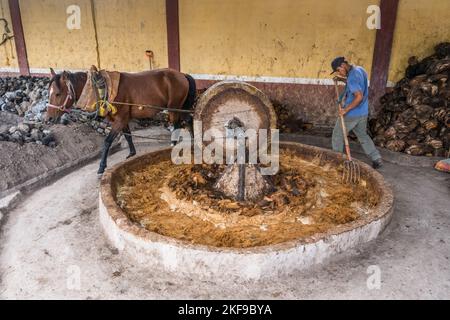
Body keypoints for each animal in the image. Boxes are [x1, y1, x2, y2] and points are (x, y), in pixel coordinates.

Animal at [45, 66, 197, 174]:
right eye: (49, 93)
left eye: (58, 93)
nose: (48, 118)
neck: (100, 89)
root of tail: (182, 74)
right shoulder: (121, 119)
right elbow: (128, 136)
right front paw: (131, 153)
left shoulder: (120, 119)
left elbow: (107, 142)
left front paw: (101, 166)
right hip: (181, 107)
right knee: (189, 120)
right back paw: (193, 141)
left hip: (174, 108)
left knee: (177, 126)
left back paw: (174, 146)